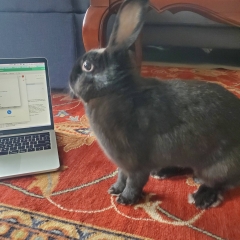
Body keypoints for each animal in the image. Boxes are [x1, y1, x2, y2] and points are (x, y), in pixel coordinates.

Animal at [69, 0, 240, 209]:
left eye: (87, 66)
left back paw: (201, 197)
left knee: (219, 183)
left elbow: (134, 182)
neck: (115, 91)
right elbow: (121, 176)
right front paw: (114, 189)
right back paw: (162, 173)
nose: (70, 80)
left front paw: (125, 199)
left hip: (220, 165)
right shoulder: (123, 165)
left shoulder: (135, 163)